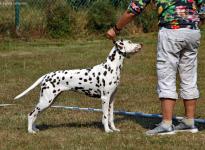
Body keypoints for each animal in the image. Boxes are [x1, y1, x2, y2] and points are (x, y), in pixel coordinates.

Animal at [14, 39, 143, 133]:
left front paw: (114, 129)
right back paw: (30, 131)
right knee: (31, 114)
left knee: (36, 114)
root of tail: (46, 75)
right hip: (46, 100)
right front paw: (107, 130)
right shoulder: (105, 98)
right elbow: (105, 117)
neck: (111, 67)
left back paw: (35, 128)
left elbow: (111, 117)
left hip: (48, 102)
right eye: (130, 42)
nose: (141, 44)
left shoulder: (112, 99)